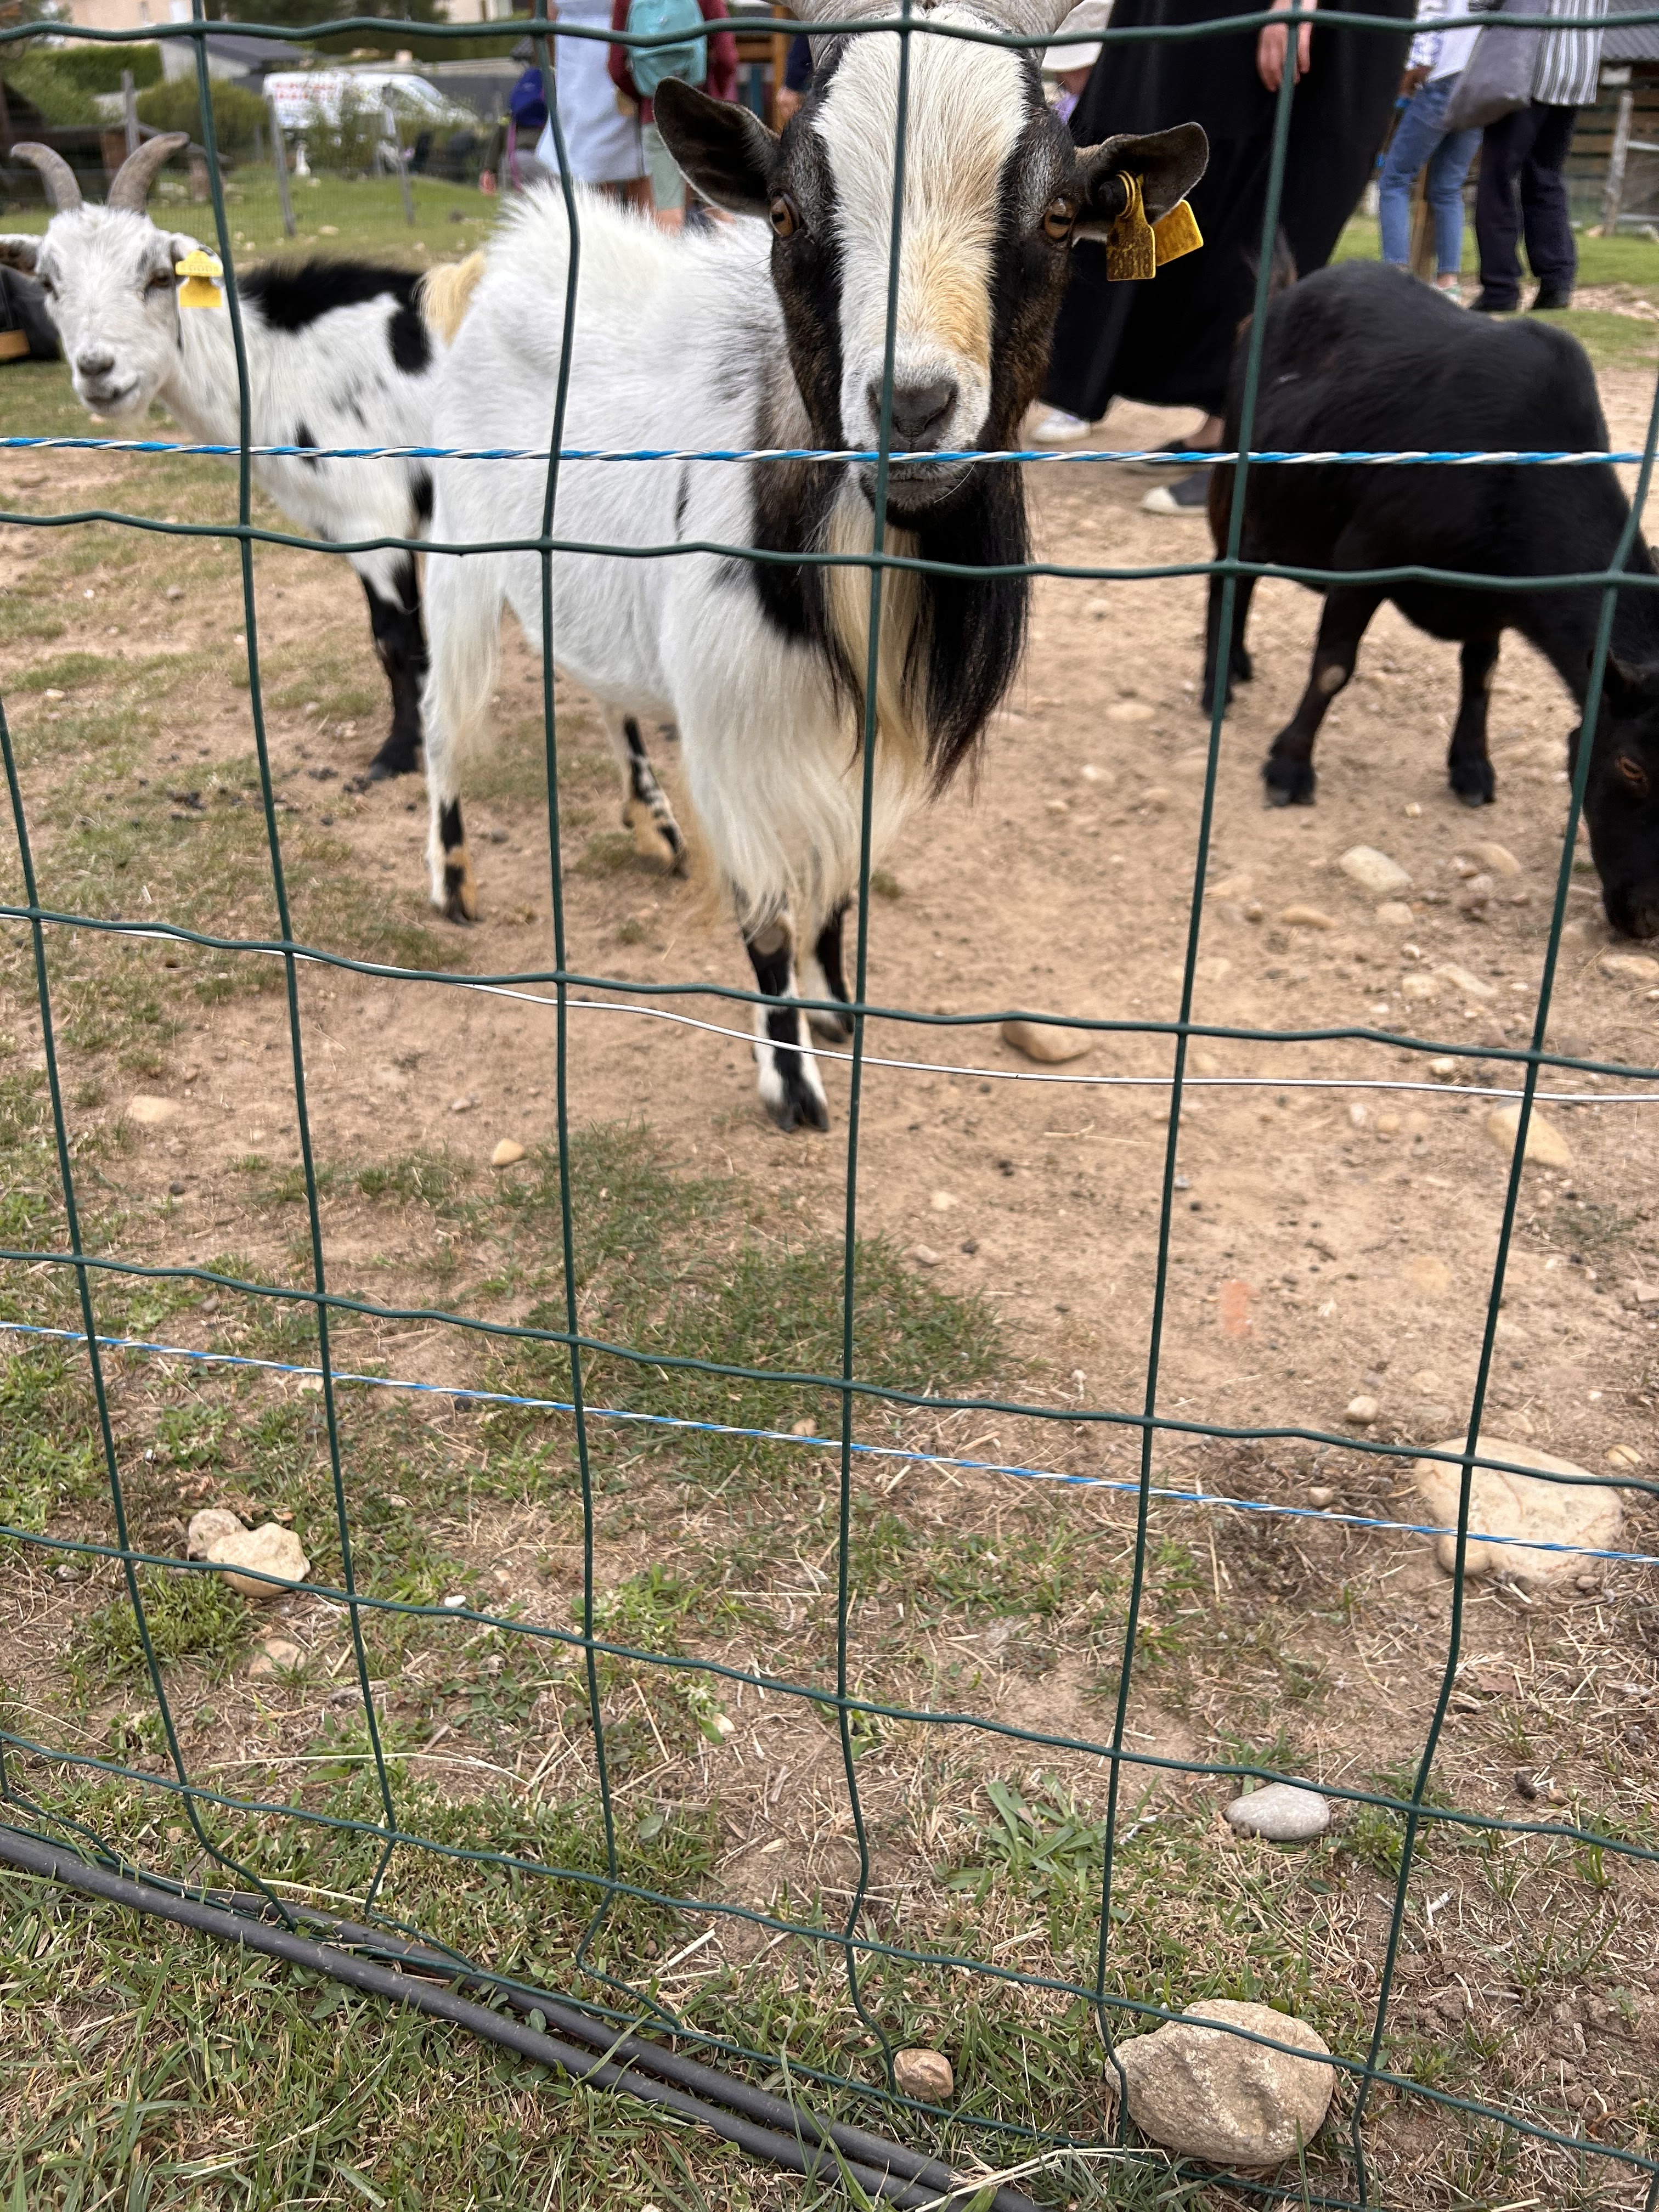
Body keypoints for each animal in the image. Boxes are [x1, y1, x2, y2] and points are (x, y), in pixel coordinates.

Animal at [418, 0, 1207, 1130]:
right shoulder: (735, 728)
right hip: (458, 547)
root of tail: (495, 267)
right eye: (787, 214)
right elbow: (770, 920)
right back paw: (452, 880)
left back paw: (651, 824)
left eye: (1059, 218)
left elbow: (837, 890)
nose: (912, 408)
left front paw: (840, 1010)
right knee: (442, 712)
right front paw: (791, 1082)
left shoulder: (866, 733)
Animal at [1203, 260, 1659, 939]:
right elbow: (1334, 667)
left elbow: (1482, 676)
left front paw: (1472, 768)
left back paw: (1238, 664)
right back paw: (1215, 684)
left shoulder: (1493, 600)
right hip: (1239, 479)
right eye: (1631, 767)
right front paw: (1288, 768)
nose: (1646, 919)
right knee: (1227, 576)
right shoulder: (1367, 554)